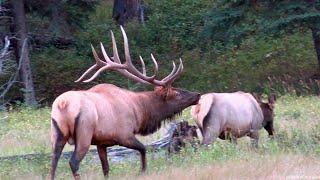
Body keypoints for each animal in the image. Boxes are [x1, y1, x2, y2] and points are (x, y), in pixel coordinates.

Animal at [49, 26, 200, 179]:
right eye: (176, 93)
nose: (198, 94)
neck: (140, 111)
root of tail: (63, 104)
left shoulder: (101, 142)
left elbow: (106, 169)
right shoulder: (124, 134)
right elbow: (143, 149)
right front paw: (142, 171)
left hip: (56, 133)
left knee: (53, 162)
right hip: (84, 131)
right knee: (73, 162)